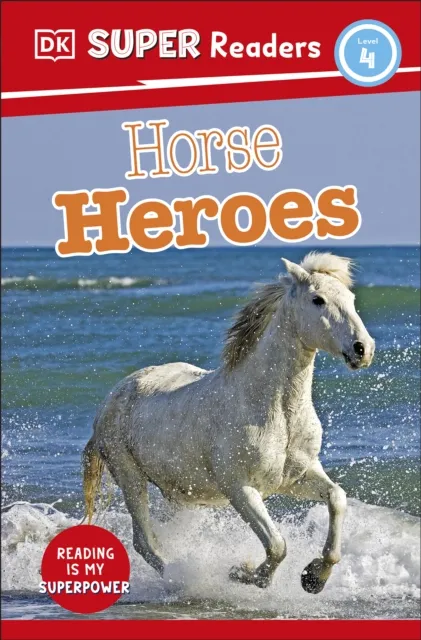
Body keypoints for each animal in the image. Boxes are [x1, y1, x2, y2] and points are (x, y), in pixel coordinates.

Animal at [82, 252, 375, 594]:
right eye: (318, 299)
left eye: (351, 299)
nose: (362, 349)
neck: (276, 412)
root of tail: (111, 399)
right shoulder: (240, 489)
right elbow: (277, 545)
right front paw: (243, 574)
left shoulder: (296, 478)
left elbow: (336, 498)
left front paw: (314, 577)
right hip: (130, 477)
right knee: (144, 541)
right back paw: (181, 580)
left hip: (180, 492)